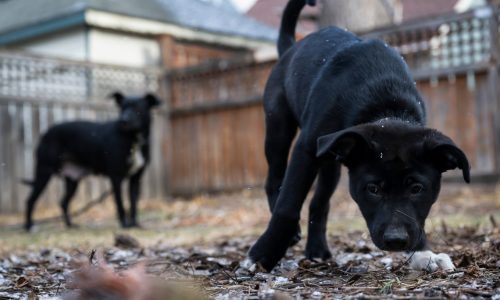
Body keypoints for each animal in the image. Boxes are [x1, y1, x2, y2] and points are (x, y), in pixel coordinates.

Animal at [24, 92, 160, 231]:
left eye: (137, 108)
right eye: (123, 108)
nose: (124, 120)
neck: (133, 139)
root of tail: (45, 134)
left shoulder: (136, 179)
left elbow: (133, 204)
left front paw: (134, 224)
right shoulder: (116, 177)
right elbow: (120, 203)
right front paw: (124, 225)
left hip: (72, 181)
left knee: (63, 202)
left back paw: (70, 225)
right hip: (44, 172)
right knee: (30, 200)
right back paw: (29, 227)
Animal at [248, 0, 470, 270]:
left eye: (417, 188)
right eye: (372, 189)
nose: (396, 240)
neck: (386, 105)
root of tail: (290, 48)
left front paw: (424, 253)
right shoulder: (307, 149)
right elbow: (288, 204)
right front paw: (264, 253)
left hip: (331, 161)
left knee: (320, 201)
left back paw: (317, 249)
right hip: (279, 128)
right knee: (274, 179)